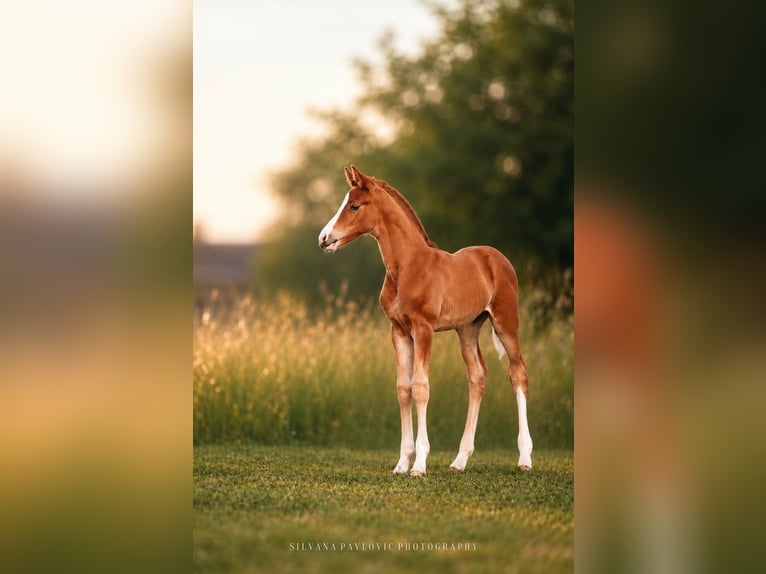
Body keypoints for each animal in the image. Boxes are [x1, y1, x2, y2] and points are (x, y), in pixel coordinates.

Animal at [318, 165, 532, 476]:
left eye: (354, 206)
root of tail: (496, 257)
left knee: (518, 374)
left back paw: (525, 458)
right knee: (477, 376)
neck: (408, 267)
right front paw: (401, 463)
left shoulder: (424, 329)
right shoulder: (398, 331)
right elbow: (403, 389)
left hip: (506, 323)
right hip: (467, 328)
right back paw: (459, 460)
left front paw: (419, 463)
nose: (324, 238)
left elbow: (420, 387)